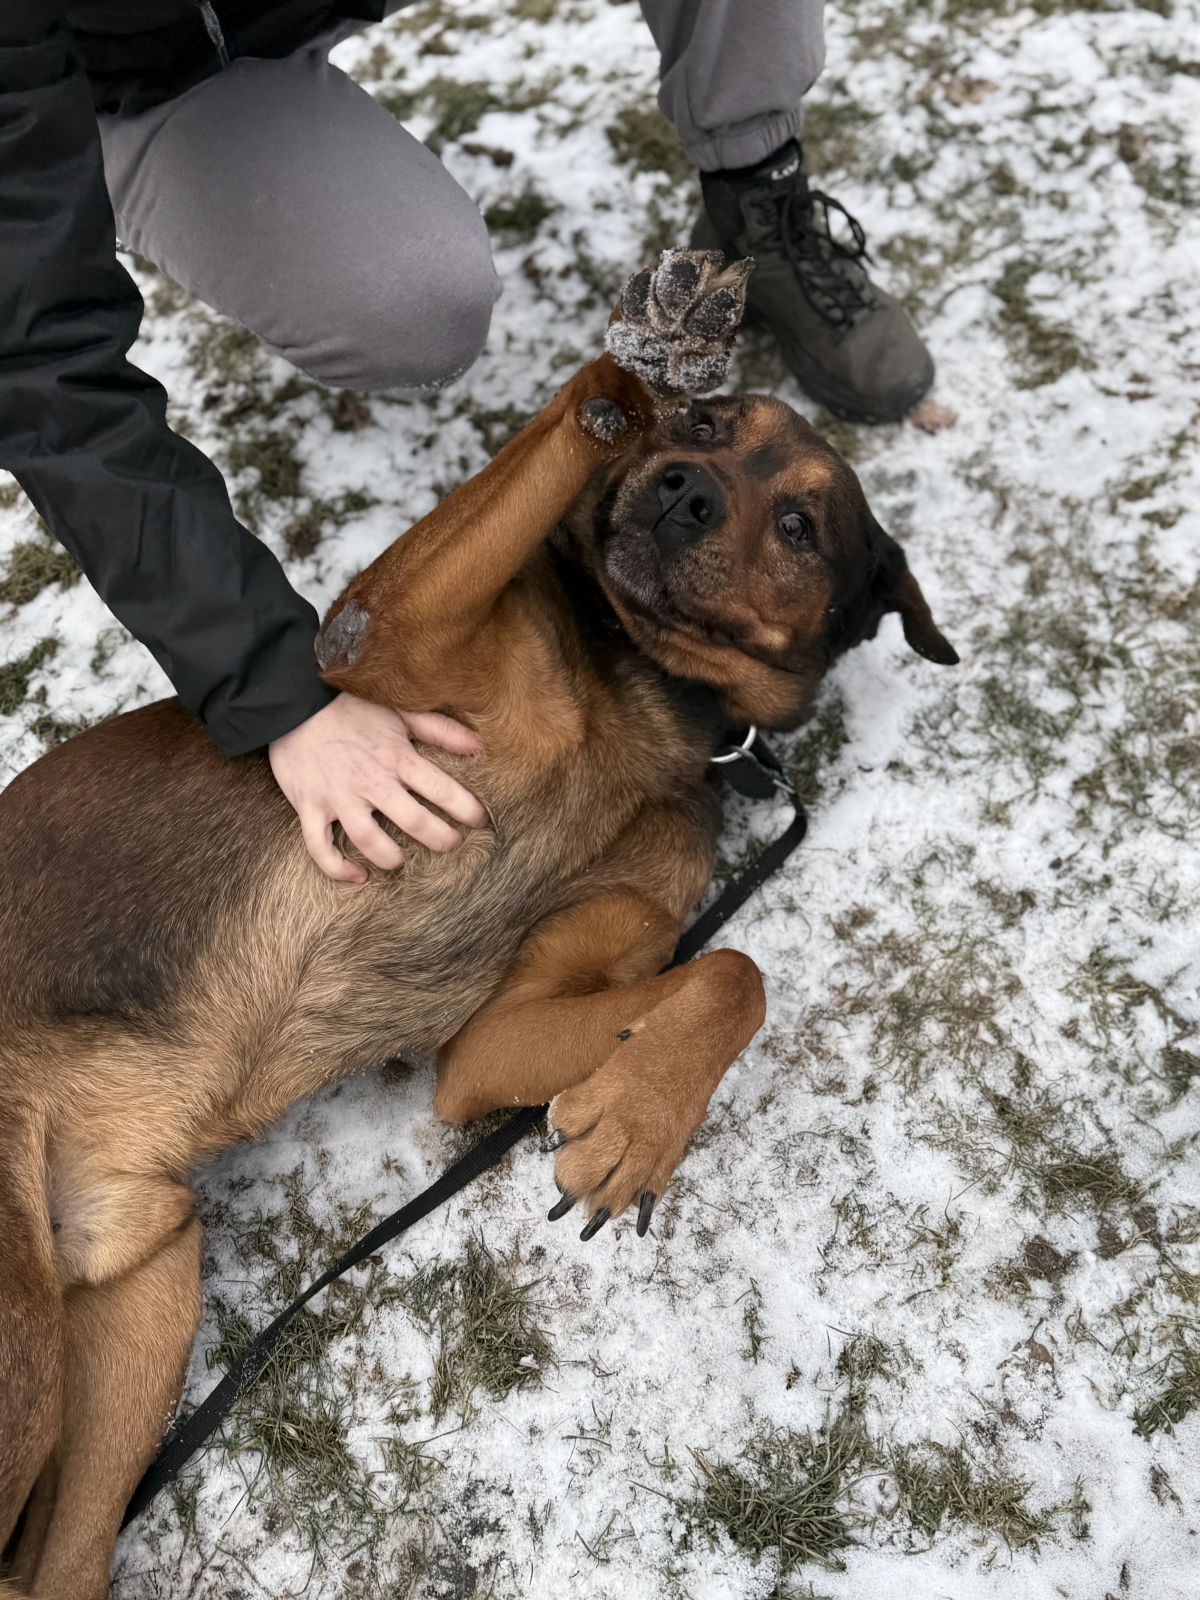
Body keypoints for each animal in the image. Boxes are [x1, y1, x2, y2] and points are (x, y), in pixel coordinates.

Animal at [0, 250, 957, 1598]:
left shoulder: (491, 1041)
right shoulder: (379, 629)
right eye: (712, 429)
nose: (679, 488)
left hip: (133, 1297)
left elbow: (733, 970)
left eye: (799, 526)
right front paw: (657, 344)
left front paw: (636, 1119)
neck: (644, 689)